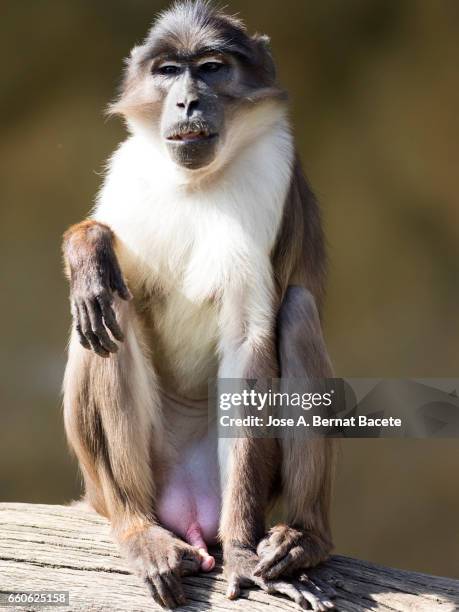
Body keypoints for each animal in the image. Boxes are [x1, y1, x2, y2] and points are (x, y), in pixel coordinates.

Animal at [62, 2, 338, 608]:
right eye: (168, 72)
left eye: (210, 69)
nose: (187, 101)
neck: (196, 183)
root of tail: (188, 506)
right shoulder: (128, 169)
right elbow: (106, 270)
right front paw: (88, 250)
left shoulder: (271, 169)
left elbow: (249, 338)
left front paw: (240, 550)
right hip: (126, 475)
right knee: (105, 312)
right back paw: (138, 529)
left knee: (298, 311)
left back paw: (305, 537)